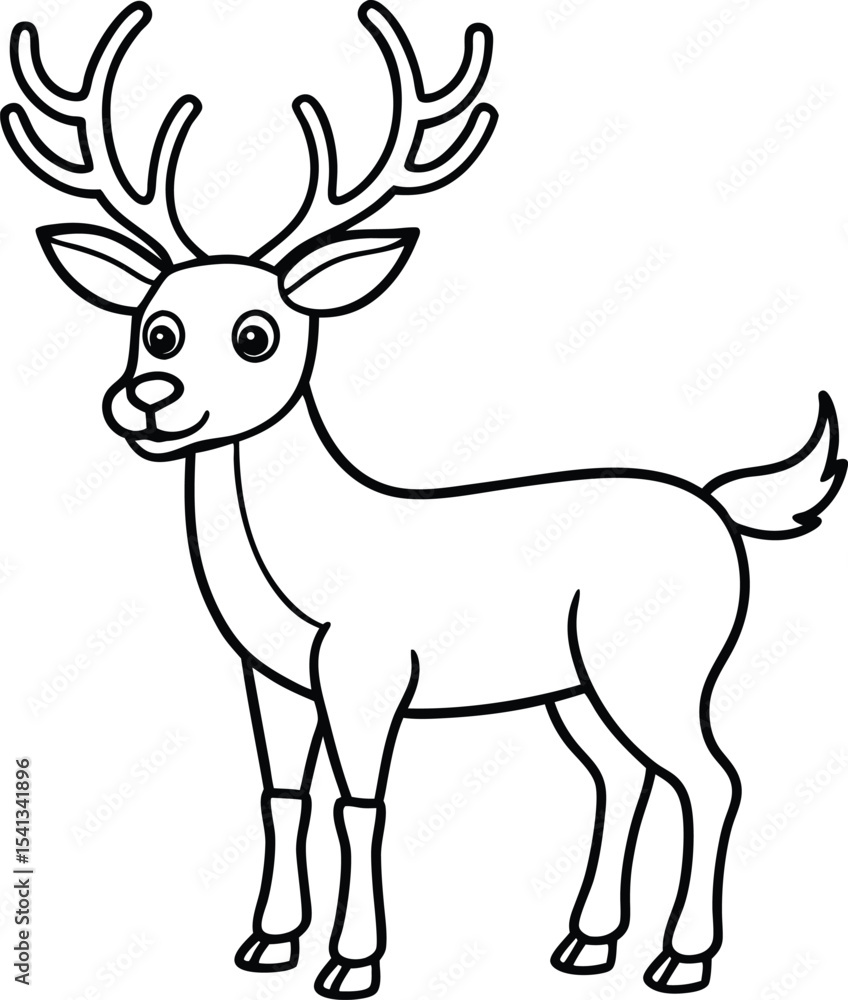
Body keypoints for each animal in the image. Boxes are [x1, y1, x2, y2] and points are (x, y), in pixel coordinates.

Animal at [3, 2, 844, 996]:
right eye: (155, 327)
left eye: (257, 334)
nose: (146, 398)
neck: (299, 563)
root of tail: (719, 507)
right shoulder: (271, 676)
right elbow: (282, 792)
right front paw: (267, 944)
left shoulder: (369, 669)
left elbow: (359, 802)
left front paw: (351, 962)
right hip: (577, 686)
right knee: (621, 777)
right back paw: (586, 945)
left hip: (665, 666)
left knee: (713, 778)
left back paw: (682, 958)